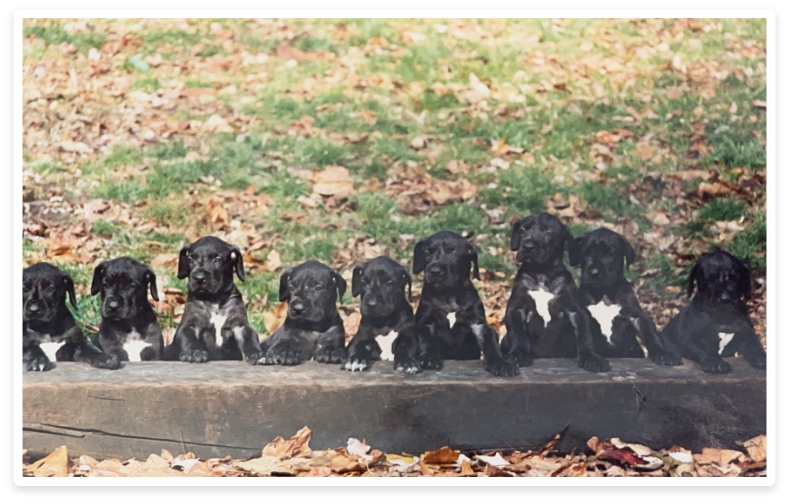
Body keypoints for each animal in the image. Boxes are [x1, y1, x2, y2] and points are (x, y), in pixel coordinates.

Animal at [163, 234, 264, 364]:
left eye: (217, 259)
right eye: (190, 259)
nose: (199, 278)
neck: (214, 301)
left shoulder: (240, 326)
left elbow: (250, 336)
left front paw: (256, 352)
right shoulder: (190, 324)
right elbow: (188, 337)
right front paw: (195, 351)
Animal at [394, 230, 516, 376]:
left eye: (453, 251)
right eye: (427, 251)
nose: (434, 271)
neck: (449, 294)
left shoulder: (479, 324)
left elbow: (491, 343)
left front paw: (500, 363)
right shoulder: (427, 322)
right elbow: (428, 341)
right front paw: (429, 358)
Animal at [498, 211, 608, 372]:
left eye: (548, 232)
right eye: (523, 230)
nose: (527, 246)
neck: (542, 273)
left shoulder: (575, 310)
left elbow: (584, 334)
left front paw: (591, 357)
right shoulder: (516, 308)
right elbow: (518, 334)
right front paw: (518, 354)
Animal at [568, 229, 684, 366]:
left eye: (610, 253)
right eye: (585, 253)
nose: (594, 272)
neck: (604, 293)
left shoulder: (636, 316)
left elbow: (650, 334)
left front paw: (663, 353)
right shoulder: (582, 315)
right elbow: (585, 336)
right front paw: (591, 358)